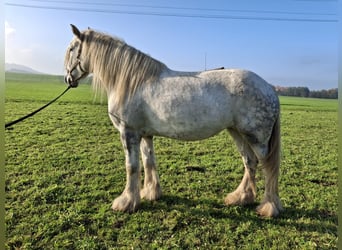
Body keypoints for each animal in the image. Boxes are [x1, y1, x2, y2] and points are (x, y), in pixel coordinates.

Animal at [64, 24, 284, 218]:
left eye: (72, 48)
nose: (68, 79)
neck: (132, 82)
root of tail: (269, 88)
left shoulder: (128, 132)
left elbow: (131, 166)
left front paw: (126, 202)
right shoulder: (145, 134)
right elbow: (148, 161)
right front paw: (150, 193)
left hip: (257, 138)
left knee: (269, 167)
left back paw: (268, 207)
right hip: (237, 133)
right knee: (249, 162)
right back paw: (240, 198)